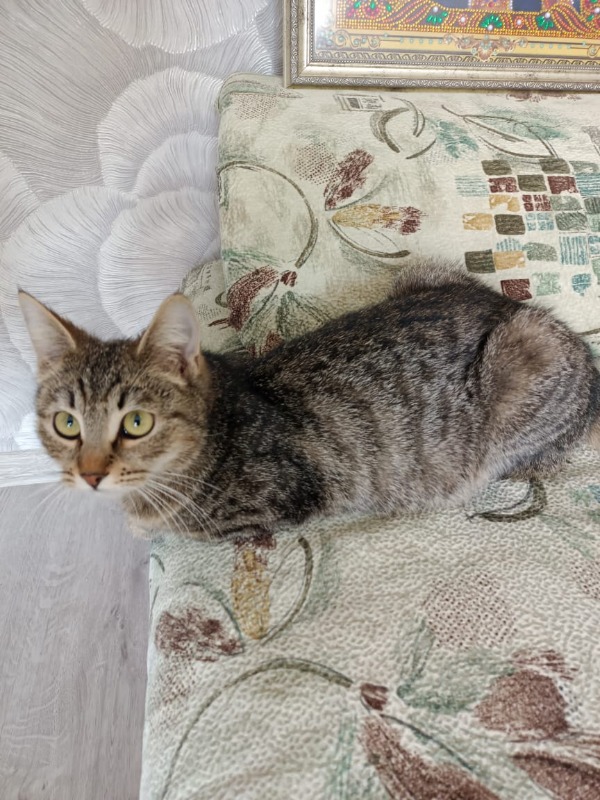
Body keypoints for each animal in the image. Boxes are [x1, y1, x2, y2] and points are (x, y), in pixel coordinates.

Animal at [19, 264, 600, 540]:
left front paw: (143, 523)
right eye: (66, 423)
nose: (91, 474)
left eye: (136, 422)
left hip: (528, 358)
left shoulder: (271, 510)